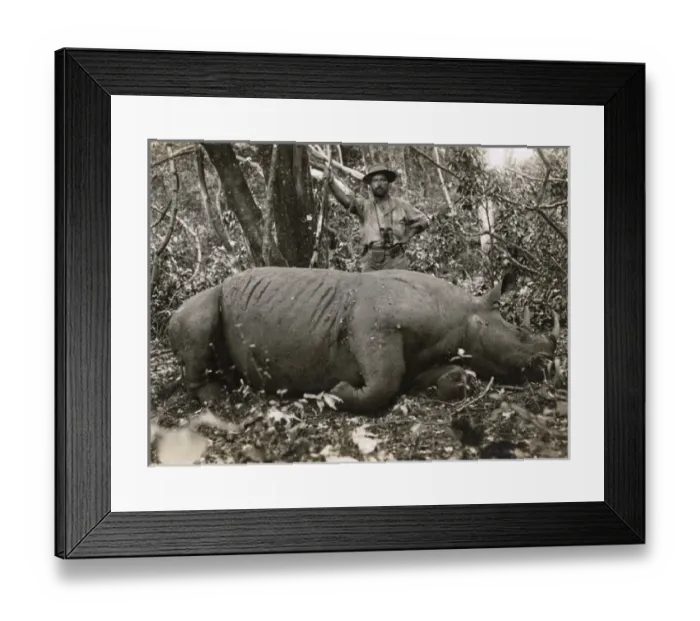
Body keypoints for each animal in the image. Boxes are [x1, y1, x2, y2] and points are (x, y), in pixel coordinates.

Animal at [166, 266, 560, 414]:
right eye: (521, 334)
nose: (549, 366)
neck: (465, 315)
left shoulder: (421, 356)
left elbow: (440, 378)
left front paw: (455, 381)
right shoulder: (372, 326)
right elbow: (384, 381)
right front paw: (336, 393)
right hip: (196, 306)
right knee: (198, 319)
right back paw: (217, 398)